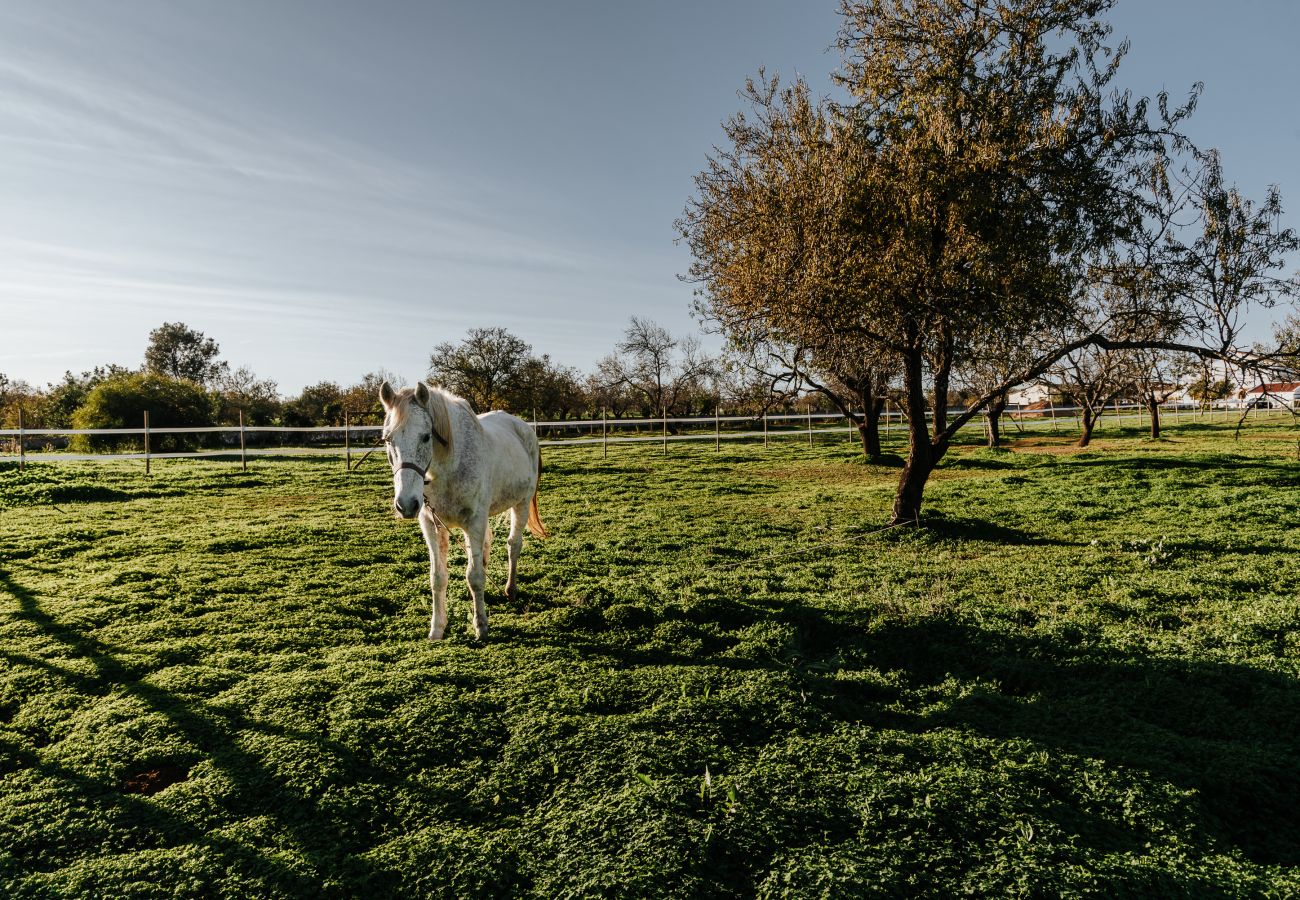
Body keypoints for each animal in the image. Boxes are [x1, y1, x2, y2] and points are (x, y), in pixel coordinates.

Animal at [379, 379, 546, 639]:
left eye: (426, 437)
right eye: (388, 439)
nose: (406, 504)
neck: (448, 468)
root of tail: (523, 427)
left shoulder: (474, 521)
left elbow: (474, 576)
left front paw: (481, 626)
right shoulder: (432, 525)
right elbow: (438, 577)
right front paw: (437, 629)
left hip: (521, 503)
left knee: (513, 545)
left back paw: (510, 589)